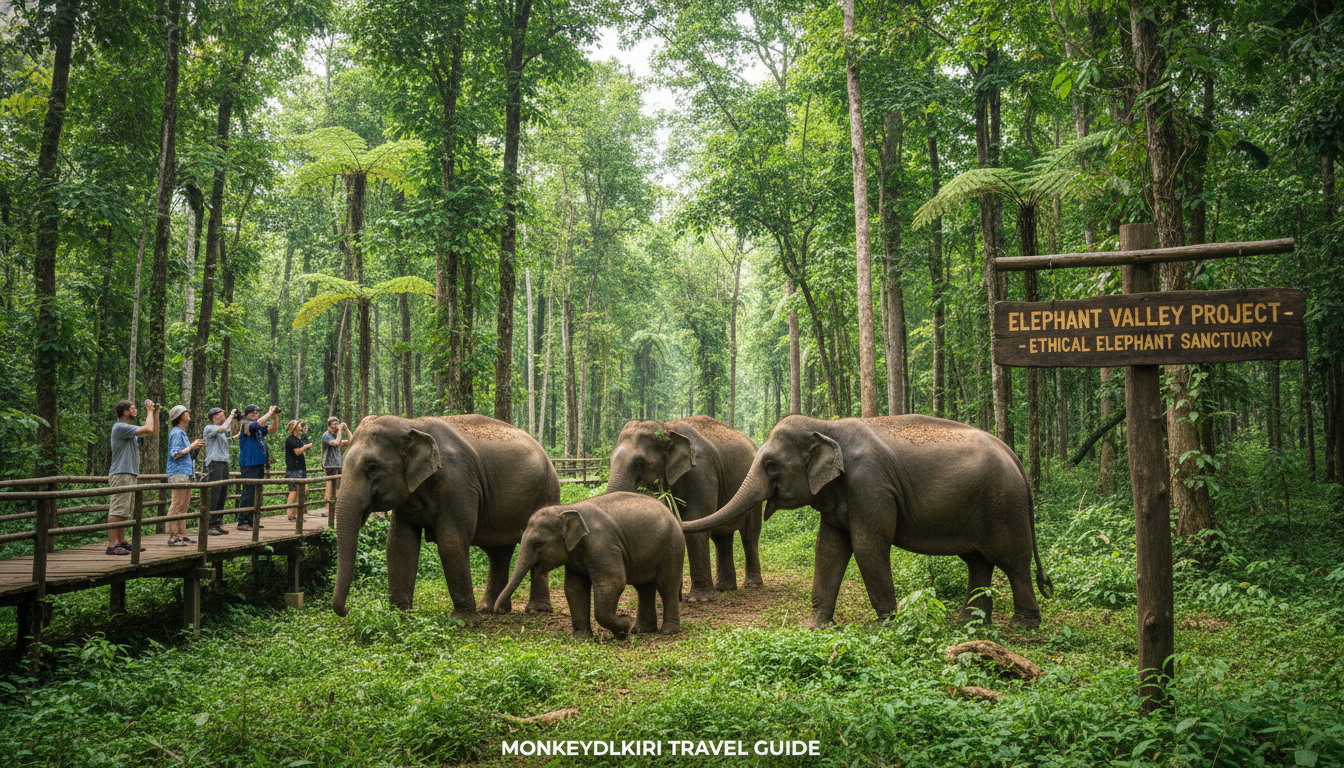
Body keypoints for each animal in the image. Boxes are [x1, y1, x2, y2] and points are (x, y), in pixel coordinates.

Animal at [332, 414, 560, 625]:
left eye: (372, 467)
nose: (347, 610)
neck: (411, 423)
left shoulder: (457, 482)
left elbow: (451, 541)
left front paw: (464, 621)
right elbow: (399, 545)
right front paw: (400, 616)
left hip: (546, 492)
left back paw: (535, 610)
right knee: (498, 553)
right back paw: (491, 609)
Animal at [494, 492, 684, 639]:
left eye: (537, 544)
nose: (499, 611)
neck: (566, 508)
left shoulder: (602, 544)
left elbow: (612, 583)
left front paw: (624, 626)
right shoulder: (574, 557)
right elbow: (574, 588)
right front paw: (581, 639)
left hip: (672, 545)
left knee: (666, 585)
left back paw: (667, 632)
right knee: (644, 587)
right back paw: (641, 631)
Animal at [607, 416, 762, 601]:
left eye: (640, 464)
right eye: (610, 460)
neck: (666, 428)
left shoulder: (701, 471)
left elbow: (695, 524)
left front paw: (700, 599)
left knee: (749, 534)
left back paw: (752, 585)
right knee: (721, 537)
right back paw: (724, 588)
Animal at [684, 414, 1053, 628]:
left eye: (772, 464)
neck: (827, 426)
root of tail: (1014, 456)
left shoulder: (869, 484)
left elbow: (867, 546)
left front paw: (887, 625)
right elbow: (828, 548)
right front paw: (817, 626)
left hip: (1005, 505)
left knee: (1013, 562)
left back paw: (1022, 626)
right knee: (978, 562)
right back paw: (968, 624)